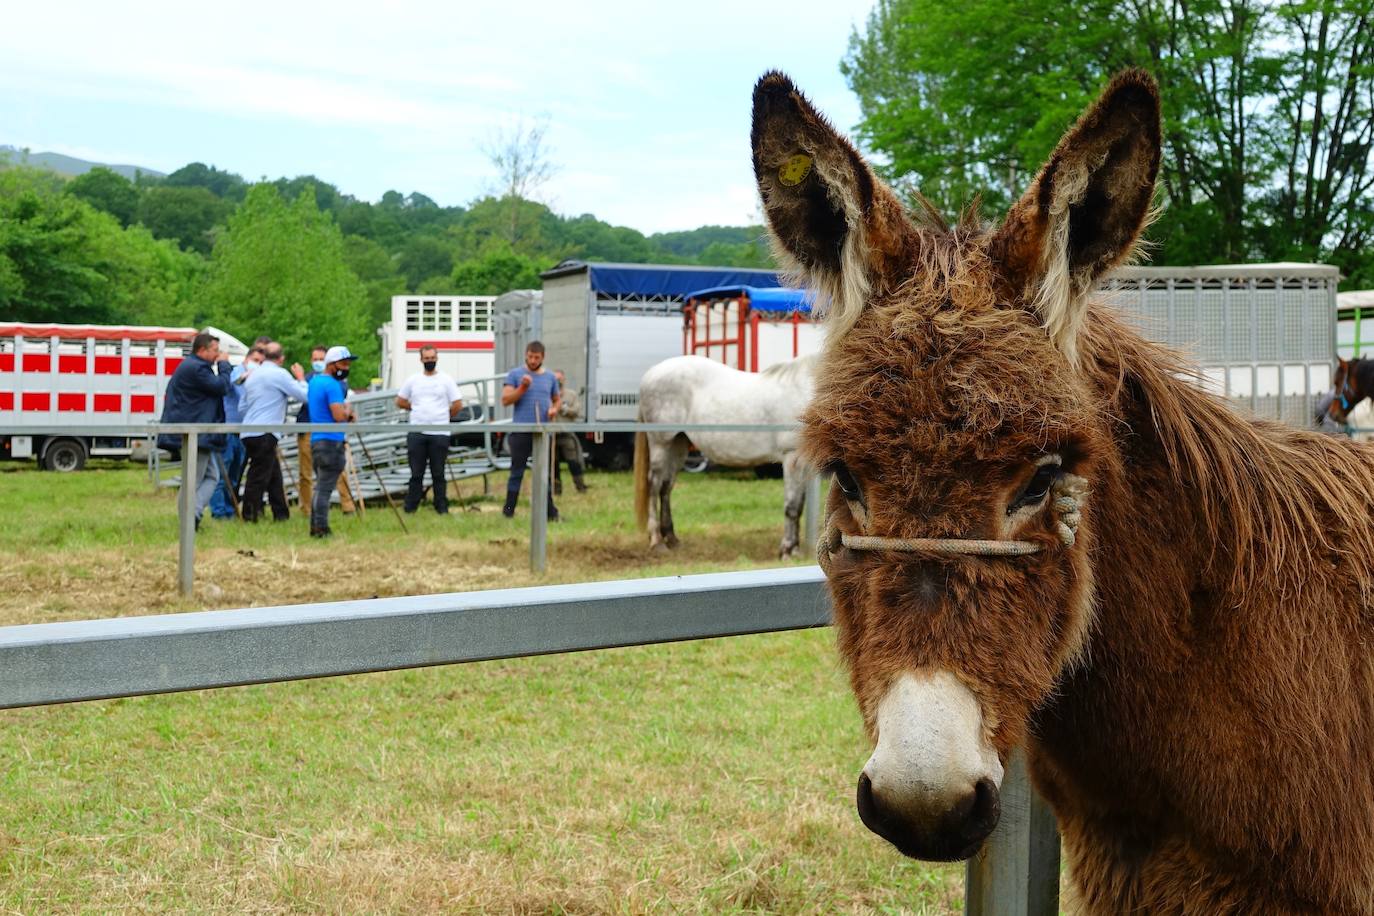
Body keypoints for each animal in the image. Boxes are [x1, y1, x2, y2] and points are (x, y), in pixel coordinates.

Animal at [632, 354, 813, 560]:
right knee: (654, 486)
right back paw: (657, 541)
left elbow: (799, 505)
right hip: (660, 442)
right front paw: (787, 550)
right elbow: (791, 506)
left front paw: (795, 549)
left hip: (678, 445)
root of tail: (651, 373)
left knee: (665, 487)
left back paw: (671, 538)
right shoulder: (792, 458)